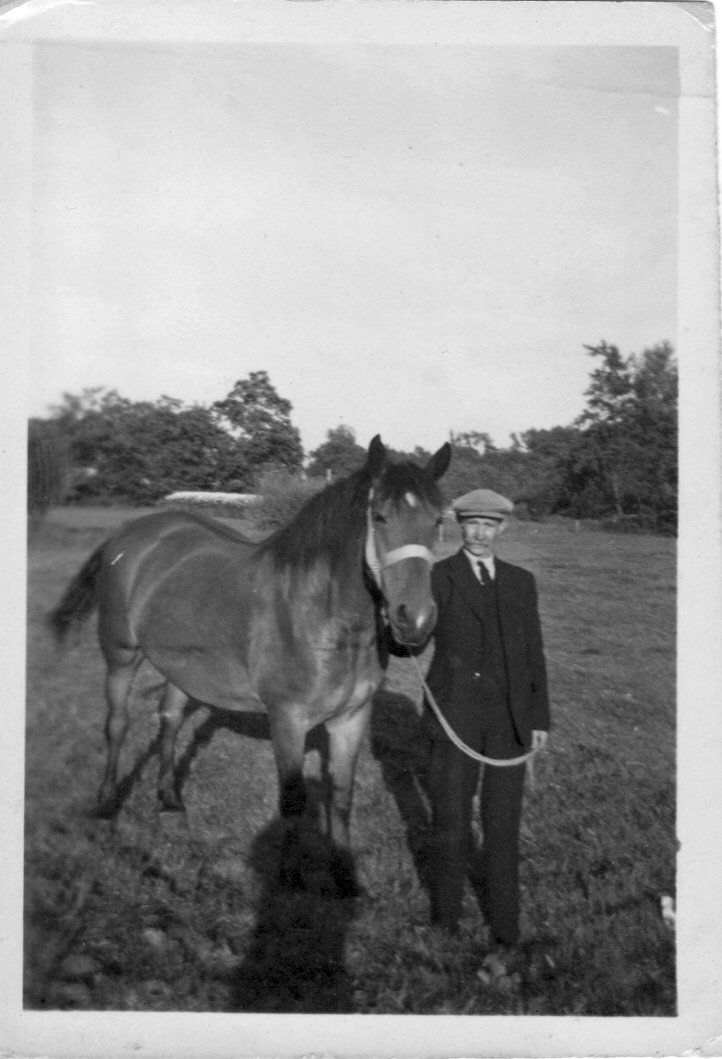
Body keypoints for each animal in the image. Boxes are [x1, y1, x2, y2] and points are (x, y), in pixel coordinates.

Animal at [50, 435, 451, 893]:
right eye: (380, 517)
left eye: (439, 521)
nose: (415, 620)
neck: (322, 615)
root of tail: (130, 532)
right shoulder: (288, 719)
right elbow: (293, 799)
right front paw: (290, 879)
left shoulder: (352, 718)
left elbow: (341, 794)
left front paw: (344, 875)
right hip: (121, 655)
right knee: (117, 725)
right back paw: (104, 805)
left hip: (180, 666)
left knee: (169, 720)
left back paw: (169, 801)